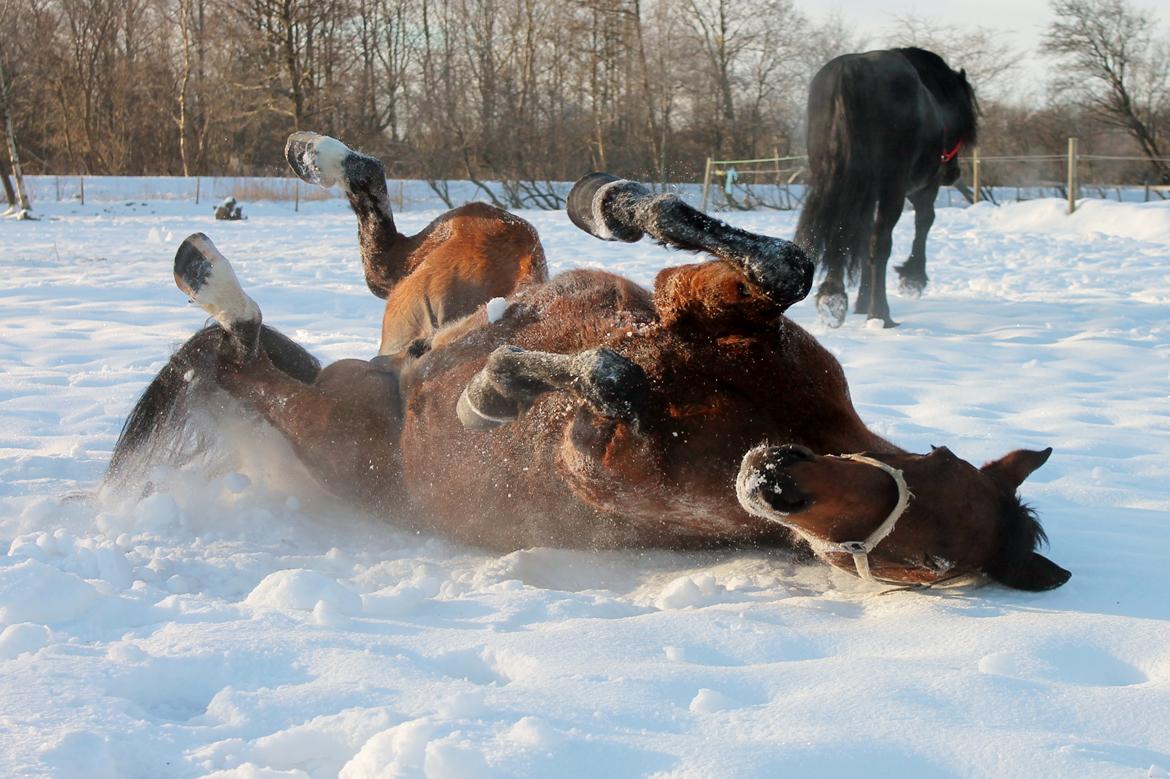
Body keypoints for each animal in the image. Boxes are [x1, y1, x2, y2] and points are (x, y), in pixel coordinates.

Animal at [795, 46, 978, 325]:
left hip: (839, 183)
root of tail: (849, 72)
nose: (953, 173)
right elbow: (924, 222)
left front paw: (861, 301)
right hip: (893, 188)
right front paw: (912, 279)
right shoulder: (922, 189)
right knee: (879, 242)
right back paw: (880, 313)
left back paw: (834, 299)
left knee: (845, 233)